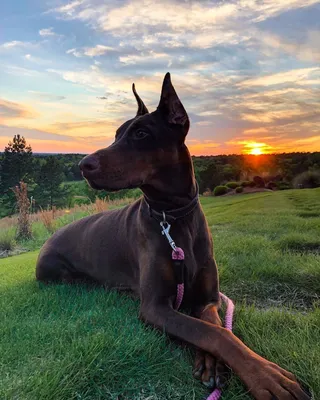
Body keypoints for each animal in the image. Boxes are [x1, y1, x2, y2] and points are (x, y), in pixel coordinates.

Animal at [37, 73, 310, 398]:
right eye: (117, 134)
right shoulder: (154, 306)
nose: (83, 165)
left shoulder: (209, 296)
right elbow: (212, 333)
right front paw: (267, 376)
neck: (173, 217)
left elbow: (213, 323)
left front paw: (211, 363)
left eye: (141, 133)